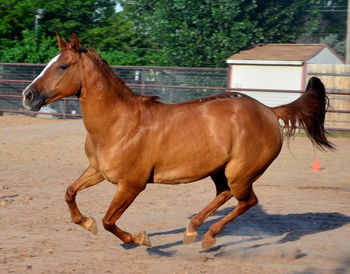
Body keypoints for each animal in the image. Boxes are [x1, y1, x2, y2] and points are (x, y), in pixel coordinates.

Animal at [21, 33, 334, 249]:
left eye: (63, 66)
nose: (28, 96)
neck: (118, 123)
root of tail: (269, 111)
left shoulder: (131, 184)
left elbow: (109, 220)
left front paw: (139, 239)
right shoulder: (98, 171)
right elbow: (69, 193)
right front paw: (86, 223)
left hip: (240, 173)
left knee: (248, 201)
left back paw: (208, 237)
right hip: (220, 171)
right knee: (225, 195)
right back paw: (192, 230)